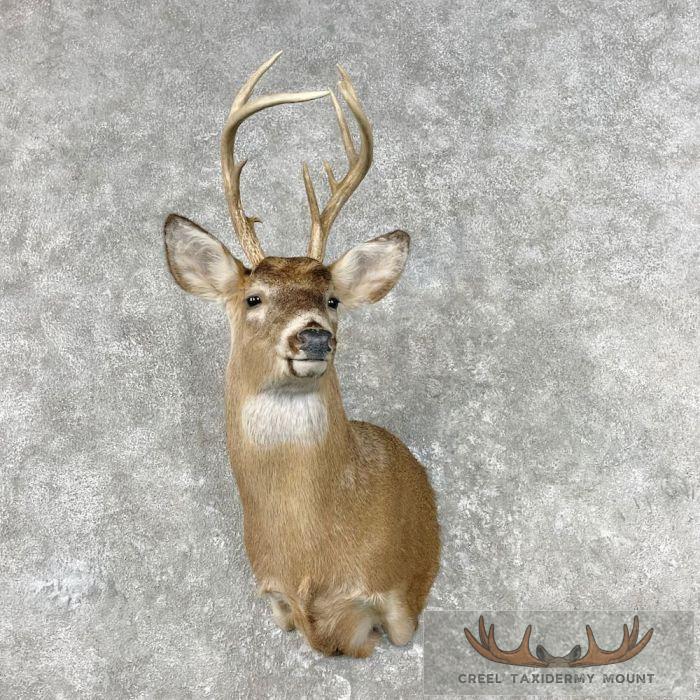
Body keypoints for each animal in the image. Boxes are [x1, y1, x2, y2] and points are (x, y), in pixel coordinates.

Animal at [163, 52, 440, 657]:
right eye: (253, 297)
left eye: (332, 298)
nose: (314, 337)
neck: (310, 562)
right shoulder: (271, 595)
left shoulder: (398, 600)